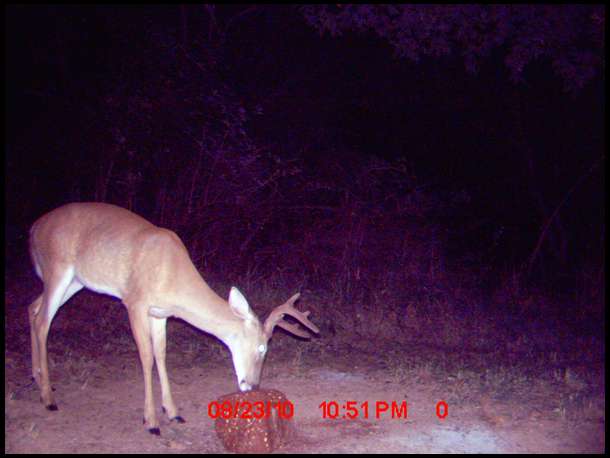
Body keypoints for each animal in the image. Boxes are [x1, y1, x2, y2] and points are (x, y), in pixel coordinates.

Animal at [27, 202, 318, 434]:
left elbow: (161, 353)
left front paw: (173, 412)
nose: (254, 385)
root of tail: (34, 228)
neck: (172, 275)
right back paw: (48, 398)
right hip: (57, 268)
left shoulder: (160, 313)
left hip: (75, 281)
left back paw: (38, 380)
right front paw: (151, 421)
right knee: (43, 322)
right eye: (262, 348)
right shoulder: (134, 302)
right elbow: (146, 357)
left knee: (33, 308)